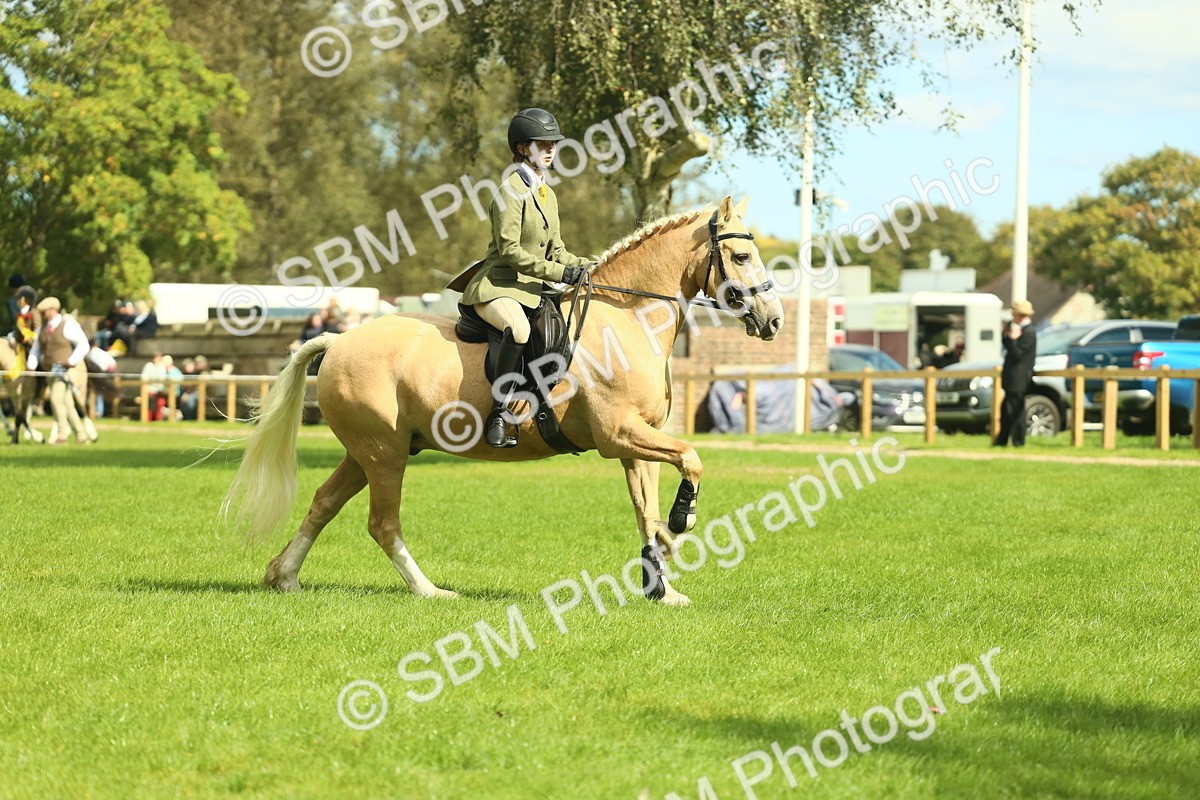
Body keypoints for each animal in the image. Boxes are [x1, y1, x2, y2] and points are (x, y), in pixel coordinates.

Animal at [221, 196, 785, 606]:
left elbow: (645, 512)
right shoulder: (619, 434)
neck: (625, 319)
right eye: (740, 256)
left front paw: (662, 585)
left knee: (324, 503)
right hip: (385, 454)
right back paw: (431, 591)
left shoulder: (635, 442)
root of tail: (338, 340)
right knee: (382, 523)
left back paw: (284, 576)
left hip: (370, 451)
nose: (774, 320)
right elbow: (691, 459)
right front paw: (683, 521)